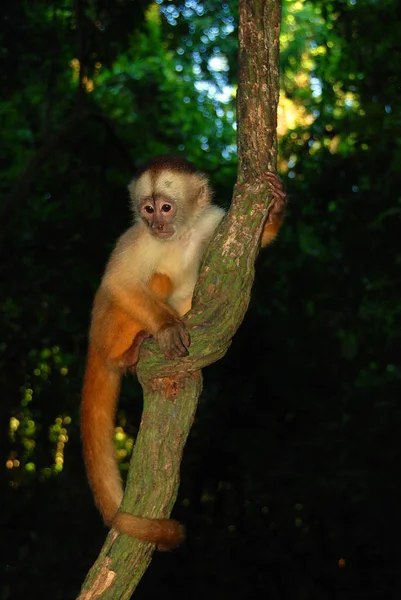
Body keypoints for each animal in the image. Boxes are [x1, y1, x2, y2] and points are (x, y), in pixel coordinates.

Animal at [80, 156, 284, 552]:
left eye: (166, 207)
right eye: (147, 209)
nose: (157, 225)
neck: (179, 235)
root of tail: (94, 342)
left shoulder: (211, 222)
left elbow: (256, 243)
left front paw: (276, 208)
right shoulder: (137, 238)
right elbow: (119, 283)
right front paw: (166, 327)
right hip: (106, 329)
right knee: (152, 282)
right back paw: (127, 354)